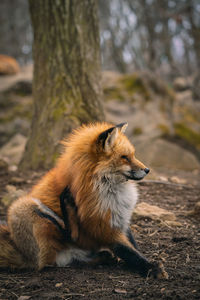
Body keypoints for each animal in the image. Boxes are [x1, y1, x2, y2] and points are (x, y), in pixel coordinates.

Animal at [0, 122, 168, 278]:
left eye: (132, 155)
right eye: (124, 157)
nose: (147, 170)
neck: (109, 189)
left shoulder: (120, 216)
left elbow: (133, 246)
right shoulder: (101, 224)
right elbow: (129, 252)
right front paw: (151, 268)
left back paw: (102, 256)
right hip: (23, 206)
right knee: (52, 256)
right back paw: (68, 208)